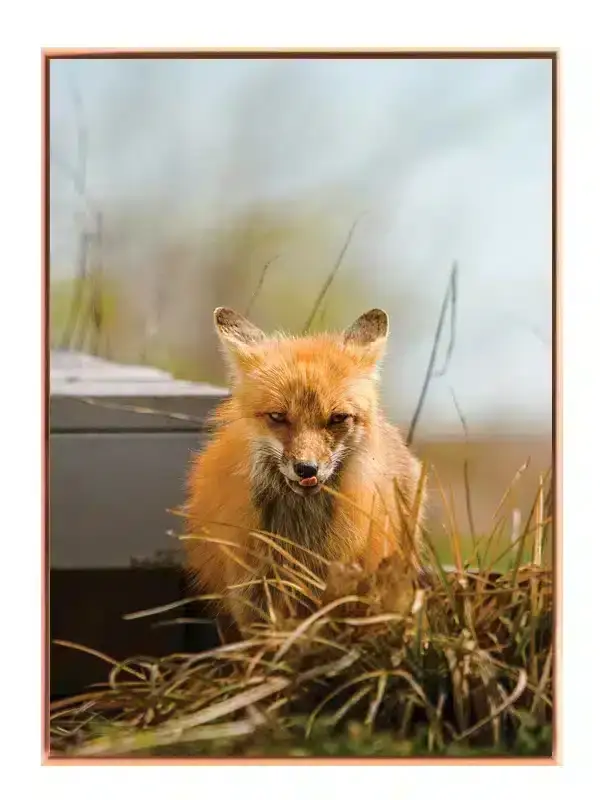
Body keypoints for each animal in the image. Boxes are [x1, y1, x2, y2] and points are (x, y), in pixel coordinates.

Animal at [182, 306, 426, 635]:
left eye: (338, 418)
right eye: (278, 417)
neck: (300, 537)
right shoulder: (252, 596)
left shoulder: (339, 590)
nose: (306, 468)